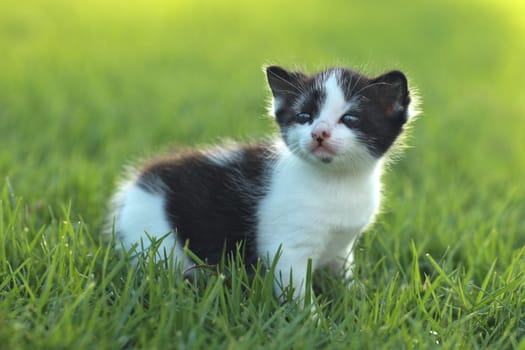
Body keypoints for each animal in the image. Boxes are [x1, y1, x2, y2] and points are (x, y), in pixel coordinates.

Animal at [107, 65, 418, 300]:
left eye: (350, 118)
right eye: (304, 117)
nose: (319, 133)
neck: (336, 181)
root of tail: (134, 186)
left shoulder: (343, 245)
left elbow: (344, 273)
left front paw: (357, 298)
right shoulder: (286, 248)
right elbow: (296, 292)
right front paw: (312, 323)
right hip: (155, 241)